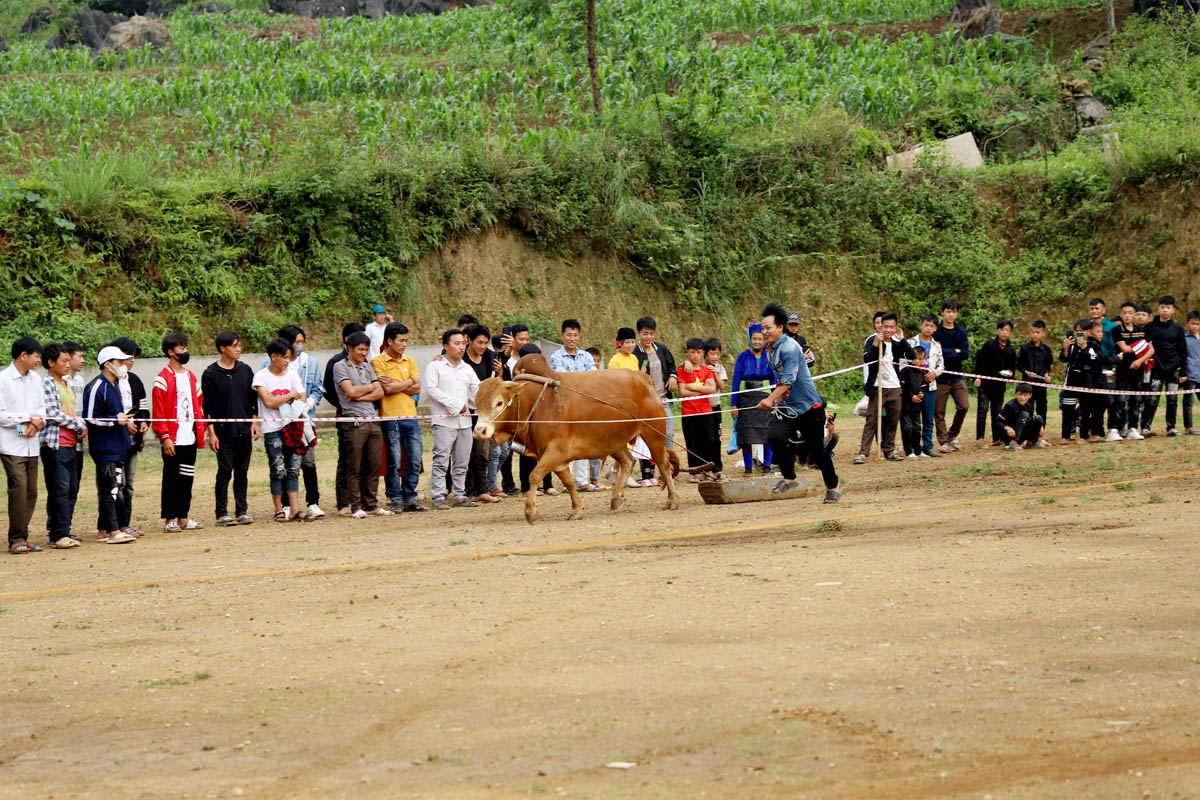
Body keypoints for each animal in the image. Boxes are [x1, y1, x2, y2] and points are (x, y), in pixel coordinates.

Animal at [470, 357, 681, 525]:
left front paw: (530, 511)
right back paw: (616, 498)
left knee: (663, 464)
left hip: (653, 435)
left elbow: (535, 475)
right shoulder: (555, 457)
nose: (479, 431)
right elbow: (569, 482)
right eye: (477, 404)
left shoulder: (555, 451)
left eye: (499, 402)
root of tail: (643, 378)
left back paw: (673, 500)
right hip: (613, 442)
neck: (539, 402)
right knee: (628, 461)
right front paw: (577, 509)